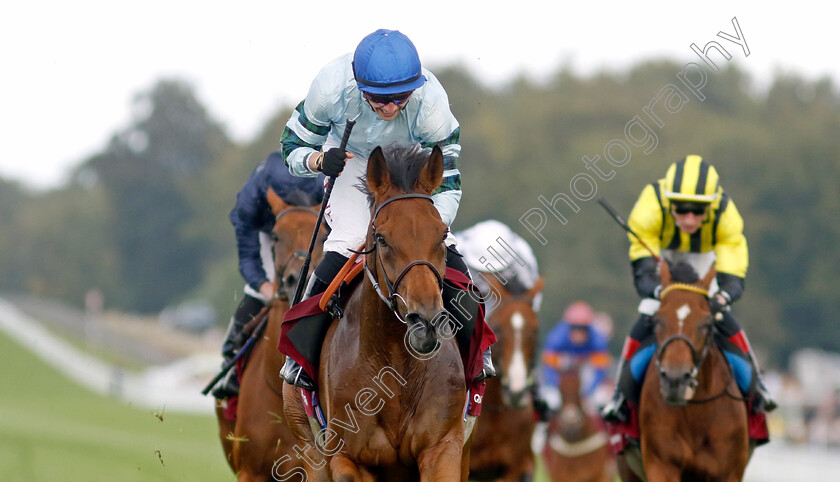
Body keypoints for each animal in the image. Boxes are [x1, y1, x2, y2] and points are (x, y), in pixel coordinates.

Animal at [284, 145, 472, 480]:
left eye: (442, 234)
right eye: (382, 238)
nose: (426, 322)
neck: (397, 365)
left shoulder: (444, 449)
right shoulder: (348, 458)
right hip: (308, 445)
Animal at [620, 262, 752, 480]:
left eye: (706, 323)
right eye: (657, 320)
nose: (676, 379)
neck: (697, 414)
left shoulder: (729, 471)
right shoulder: (661, 464)